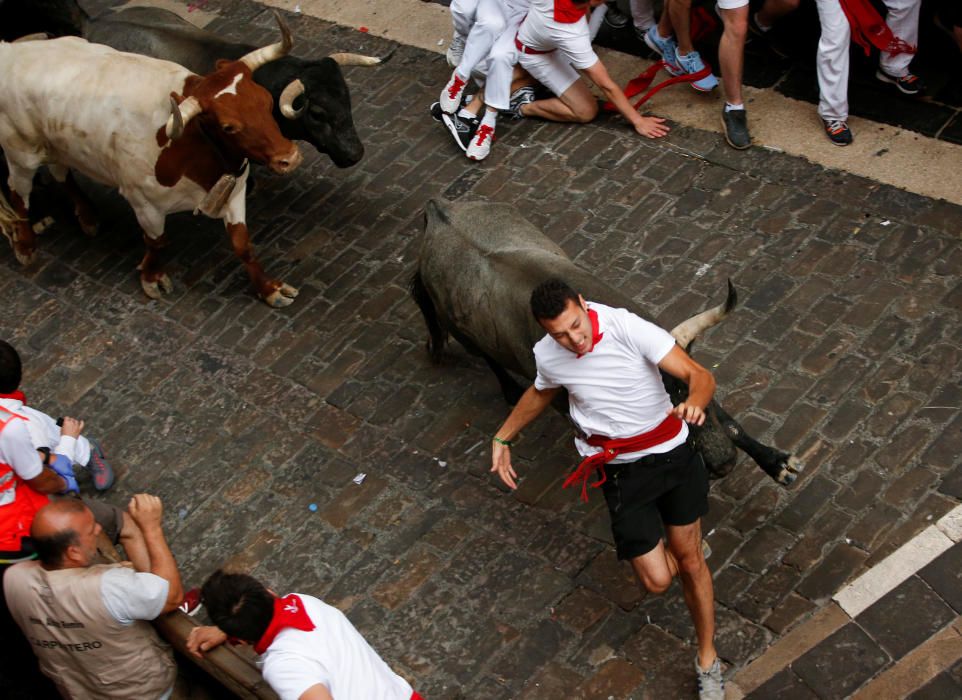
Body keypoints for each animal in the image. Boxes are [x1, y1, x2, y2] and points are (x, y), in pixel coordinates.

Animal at [0, 20, 304, 304]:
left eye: (266, 100)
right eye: (228, 127)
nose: (289, 157)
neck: (196, 145)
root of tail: (12, 51)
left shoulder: (235, 193)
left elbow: (244, 246)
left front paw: (269, 288)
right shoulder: (146, 205)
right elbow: (157, 242)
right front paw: (151, 276)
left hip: (58, 144)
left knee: (60, 173)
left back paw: (87, 216)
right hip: (21, 153)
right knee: (18, 194)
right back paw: (25, 245)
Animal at [408, 201, 800, 486]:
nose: (723, 464)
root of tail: (437, 210)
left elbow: (728, 420)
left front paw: (777, 462)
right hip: (463, 333)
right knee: (489, 359)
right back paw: (508, 390)